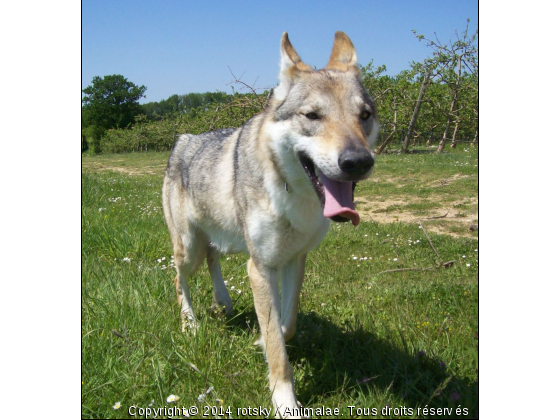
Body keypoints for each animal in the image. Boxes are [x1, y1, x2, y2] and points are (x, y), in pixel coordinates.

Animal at [164, 32, 378, 416]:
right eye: (312, 115)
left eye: (364, 115)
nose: (358, 161)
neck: (296, 197)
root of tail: (182, 139)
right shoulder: (260, 267)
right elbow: (279, 345)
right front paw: (285, 402)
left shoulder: (294, 259)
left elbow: (286, 324)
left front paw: (261, 340)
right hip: (188, 247)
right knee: (179, 279)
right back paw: (190, 323)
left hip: (220, 241)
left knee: (213, 262)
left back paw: (224, 303)